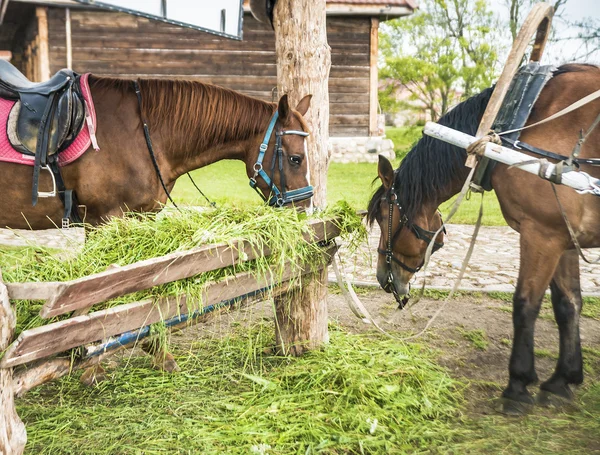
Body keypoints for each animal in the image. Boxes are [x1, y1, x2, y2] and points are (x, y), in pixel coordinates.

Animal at [368, 64, 596, 416]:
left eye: (382, 216)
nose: (382, 276)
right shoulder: (564, 236)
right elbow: (568, 303)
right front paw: (562, 380)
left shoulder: (541, 234)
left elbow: (526, 304)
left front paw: (518, 384)